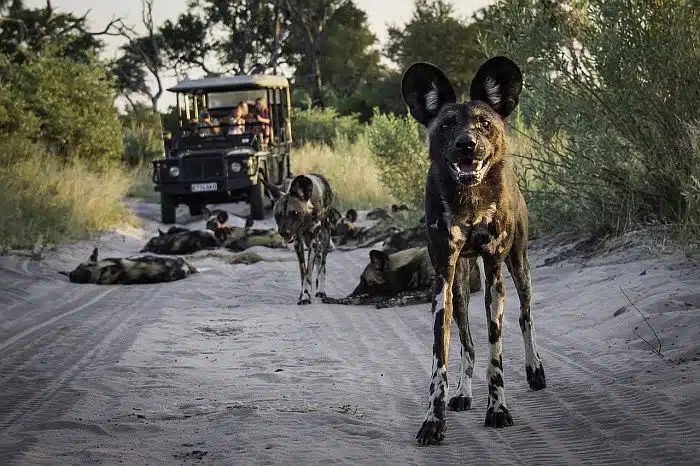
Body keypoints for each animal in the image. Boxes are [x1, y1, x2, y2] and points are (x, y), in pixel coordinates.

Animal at [266, 173, 336, 304]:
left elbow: (308, 272)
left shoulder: (313, 241)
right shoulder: (298, 242)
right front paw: (303, 294)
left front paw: (306, 296)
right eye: (278, 215)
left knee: (323, 264)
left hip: (324, 237)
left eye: (294, 213)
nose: (284, 233)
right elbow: (303, 273)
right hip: (308, 241)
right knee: (319, 258)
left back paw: (321, 291)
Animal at [402, 58, 548, 444]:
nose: (467, 144)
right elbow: (441, 359)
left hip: (519, 267)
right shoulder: (443, 278)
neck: (469, 201)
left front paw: (497, 409)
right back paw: (464, 393)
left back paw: (534, 370)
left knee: (525, 317)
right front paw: (434, 420)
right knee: (467, 344)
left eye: (485, 124)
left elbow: (495, 354)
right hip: (460, 290)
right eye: (447, 125)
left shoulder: (496, 270)